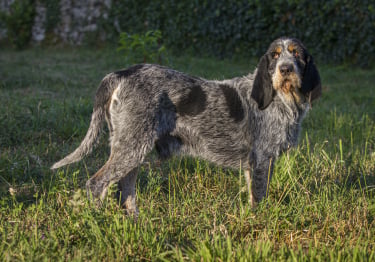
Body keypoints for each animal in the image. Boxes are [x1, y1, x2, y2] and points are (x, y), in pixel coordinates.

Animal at [51, 37, 324, 215]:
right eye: (275, 55)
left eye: (296, 54)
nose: (285, 69)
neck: (283, 99)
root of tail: (122, 73)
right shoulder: (262, 160)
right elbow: (259, 197)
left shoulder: (254, 164)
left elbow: (252, 194)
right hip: (131, 148)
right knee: (97, 184)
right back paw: (97, 220)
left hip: (131, 148)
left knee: (125, 188)